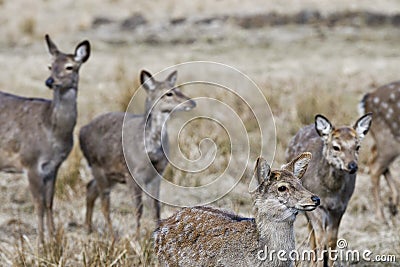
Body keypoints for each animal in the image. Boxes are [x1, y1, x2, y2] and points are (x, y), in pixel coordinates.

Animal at [0, 34, 90, 244]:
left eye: (69, 67)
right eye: (50, 66)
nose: (50, 81)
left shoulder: (53, 166)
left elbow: (49, 202)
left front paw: (54, 239)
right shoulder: (30, 162)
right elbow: (38, 204)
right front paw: (41, 242)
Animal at [79, 68, 195, 237]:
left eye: (179, 89)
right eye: (169, 93)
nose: (192, 102)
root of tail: (81, 131)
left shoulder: (157, 174)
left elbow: (155, 207)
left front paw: (156, 232)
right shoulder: (131, 173)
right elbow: (138, 208)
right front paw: (137, 237)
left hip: (110, 174)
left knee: (90, 188)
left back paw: (88, 228)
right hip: (97, 166)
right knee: (104, 203)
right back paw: (112, 236)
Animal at [284, 113, 372, 267]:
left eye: (357, 146)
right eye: (336, 147)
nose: (352, 166)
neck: (330, 191)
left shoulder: (340, 207)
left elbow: (331, 240)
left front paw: (329, 263)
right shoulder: (316, 206)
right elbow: (320, 238)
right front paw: (319, 263)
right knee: (312, 233)